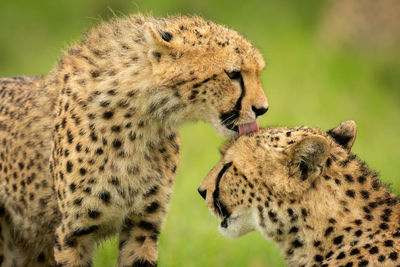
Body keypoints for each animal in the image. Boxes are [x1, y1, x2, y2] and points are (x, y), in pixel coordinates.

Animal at [0, 15, 268, 267]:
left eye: (258, 72)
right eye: (233, 74)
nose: (262, 109)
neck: (140, 119)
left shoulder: (143, 225)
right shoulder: (73, 233)